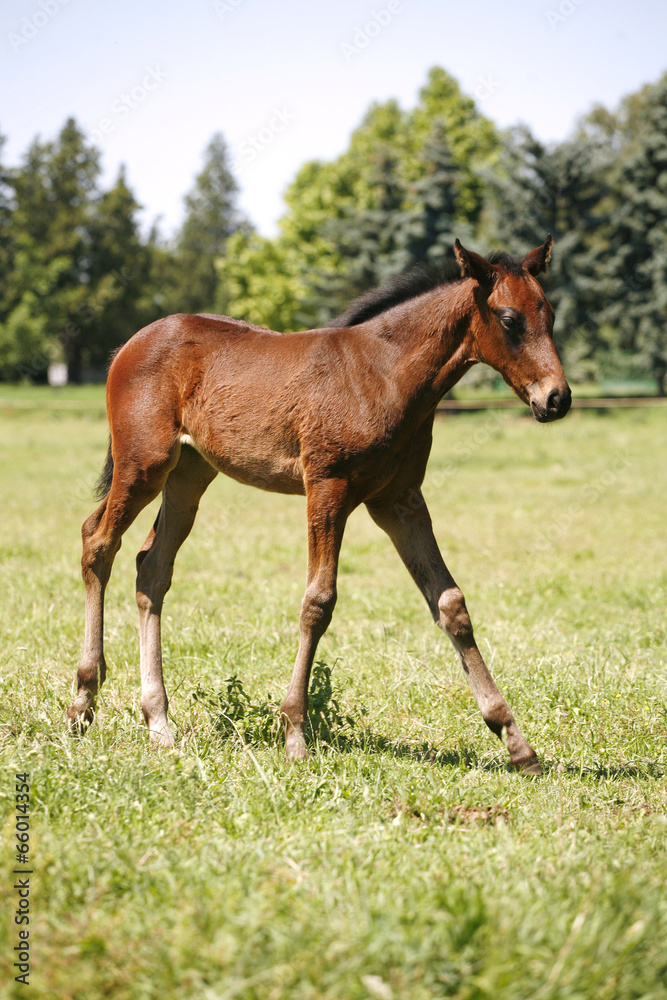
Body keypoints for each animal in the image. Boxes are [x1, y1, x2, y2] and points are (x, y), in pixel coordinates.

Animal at [66, 240, 568, 772]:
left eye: (550, 314)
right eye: (510, 319)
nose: (557, 398)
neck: (384, 376)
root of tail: (129, 346)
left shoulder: (400, 502)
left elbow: (450, 602)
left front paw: (515, 742)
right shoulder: (328, 487)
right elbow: (318, 602)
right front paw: (294, 734)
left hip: (189, 475)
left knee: (152, 567)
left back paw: (159, 721)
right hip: (144, 464)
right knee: (98, 541)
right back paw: (82, 702)